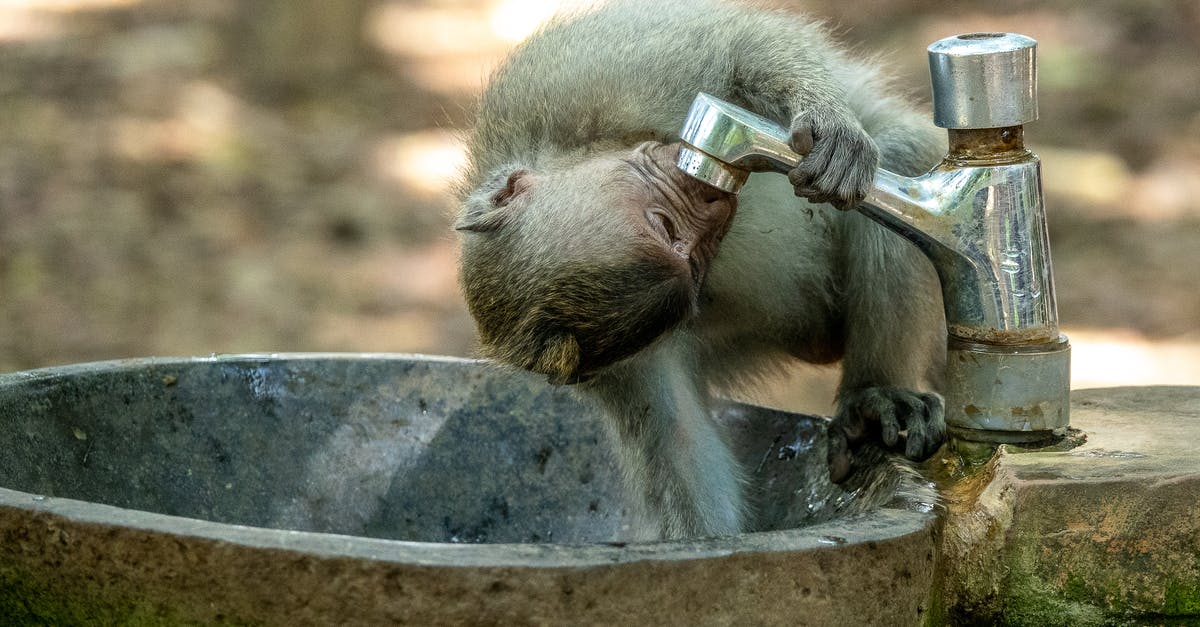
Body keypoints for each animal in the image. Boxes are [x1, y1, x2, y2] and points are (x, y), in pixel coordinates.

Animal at [454, 0, 947, 539]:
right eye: (685, 252)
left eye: (663, 222)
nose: (712, 200)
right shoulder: (627, 366)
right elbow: (681, 455)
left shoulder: (590, 83)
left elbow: (742, 48)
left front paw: (827, 120)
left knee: (898, 152)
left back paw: (875, 392)